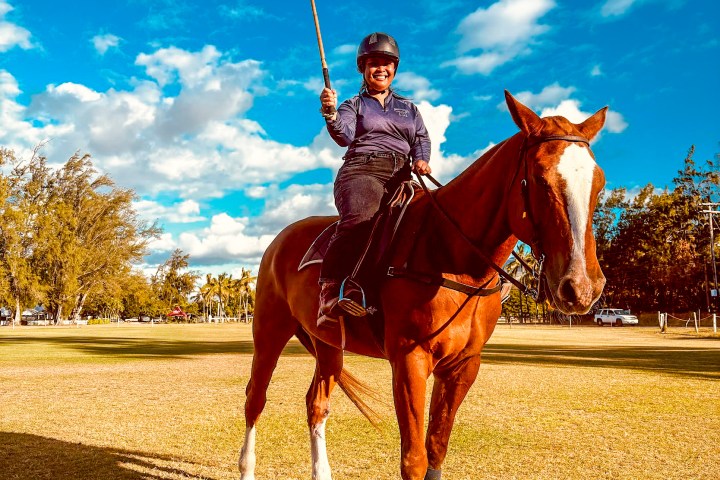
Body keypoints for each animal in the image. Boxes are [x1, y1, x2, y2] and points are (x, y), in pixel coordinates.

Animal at [239, 90, 607, 480]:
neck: (452, 255)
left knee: (316, 403)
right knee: (255, 398)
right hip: (270, 330)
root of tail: (280, 238)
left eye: (599, 182)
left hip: (327, 343)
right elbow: (414, 458)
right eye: (539, 178)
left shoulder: (463, 365)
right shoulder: (409, 361)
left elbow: (437, 448)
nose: (582, 286)